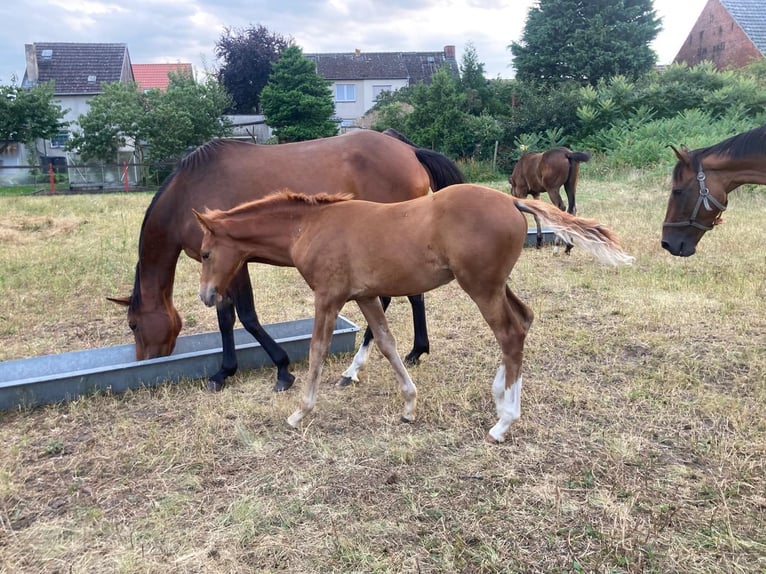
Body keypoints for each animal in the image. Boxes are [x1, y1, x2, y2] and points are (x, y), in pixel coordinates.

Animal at [108, 129, 464, 392]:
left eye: (133, 324)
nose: (146, 361)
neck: (186, 195)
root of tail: (408, 149)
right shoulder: (224, 268)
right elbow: (228, 318)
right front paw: (226, 372)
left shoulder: (234, 262)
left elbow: (244, 317)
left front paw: (278, 369)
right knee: (412, 295)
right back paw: (416, 350)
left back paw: (355, 368)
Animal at [194, 184, 634, 443]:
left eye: (205, 252)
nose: (207, 296)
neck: (311, 227)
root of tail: (510, 199)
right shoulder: (366, 296)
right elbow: (386, 342)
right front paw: (408, 405)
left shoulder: (328, 297)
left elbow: (318, 351)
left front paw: (299, 412)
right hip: (494, 285)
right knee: (523, 321)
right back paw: (500, 396)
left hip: (480, 287)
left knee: (509, 332)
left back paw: (503, 422)